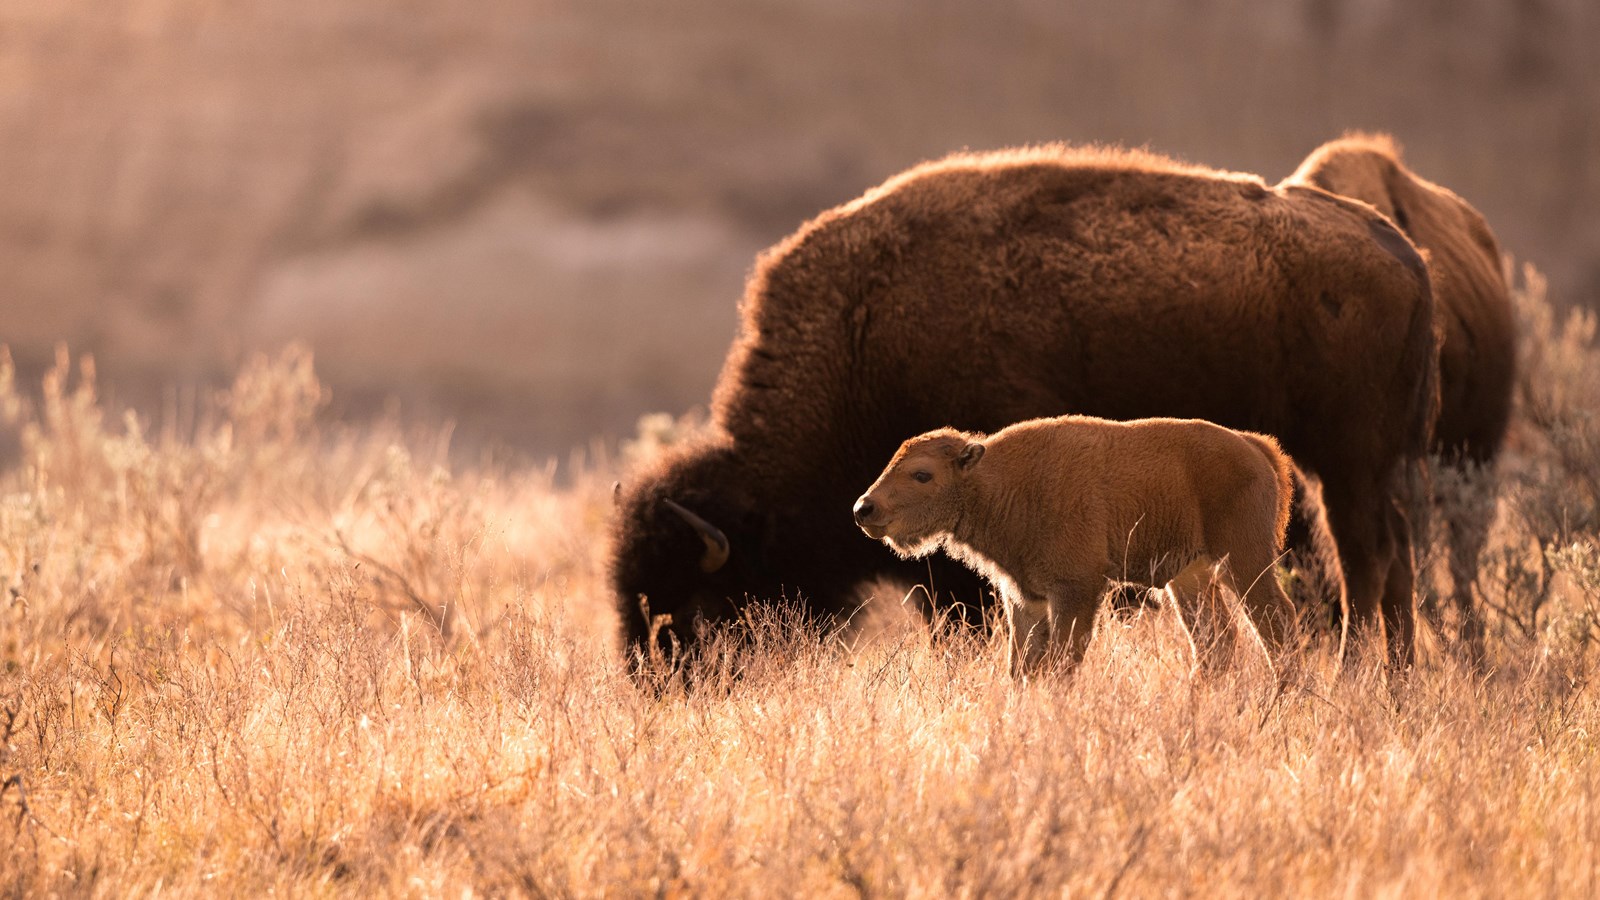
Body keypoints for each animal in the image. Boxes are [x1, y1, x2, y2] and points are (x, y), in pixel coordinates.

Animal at [852, 416, 1297, 677]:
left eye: (922, 474)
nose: (864, 508)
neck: (995, 482)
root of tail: (1254, 446)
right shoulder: (1025, 598)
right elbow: (1021, 667)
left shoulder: (1076, 590)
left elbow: (1060, 663)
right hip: (1189, 578)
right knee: (1216, 643)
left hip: (1244, 561)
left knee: (1277, 626)